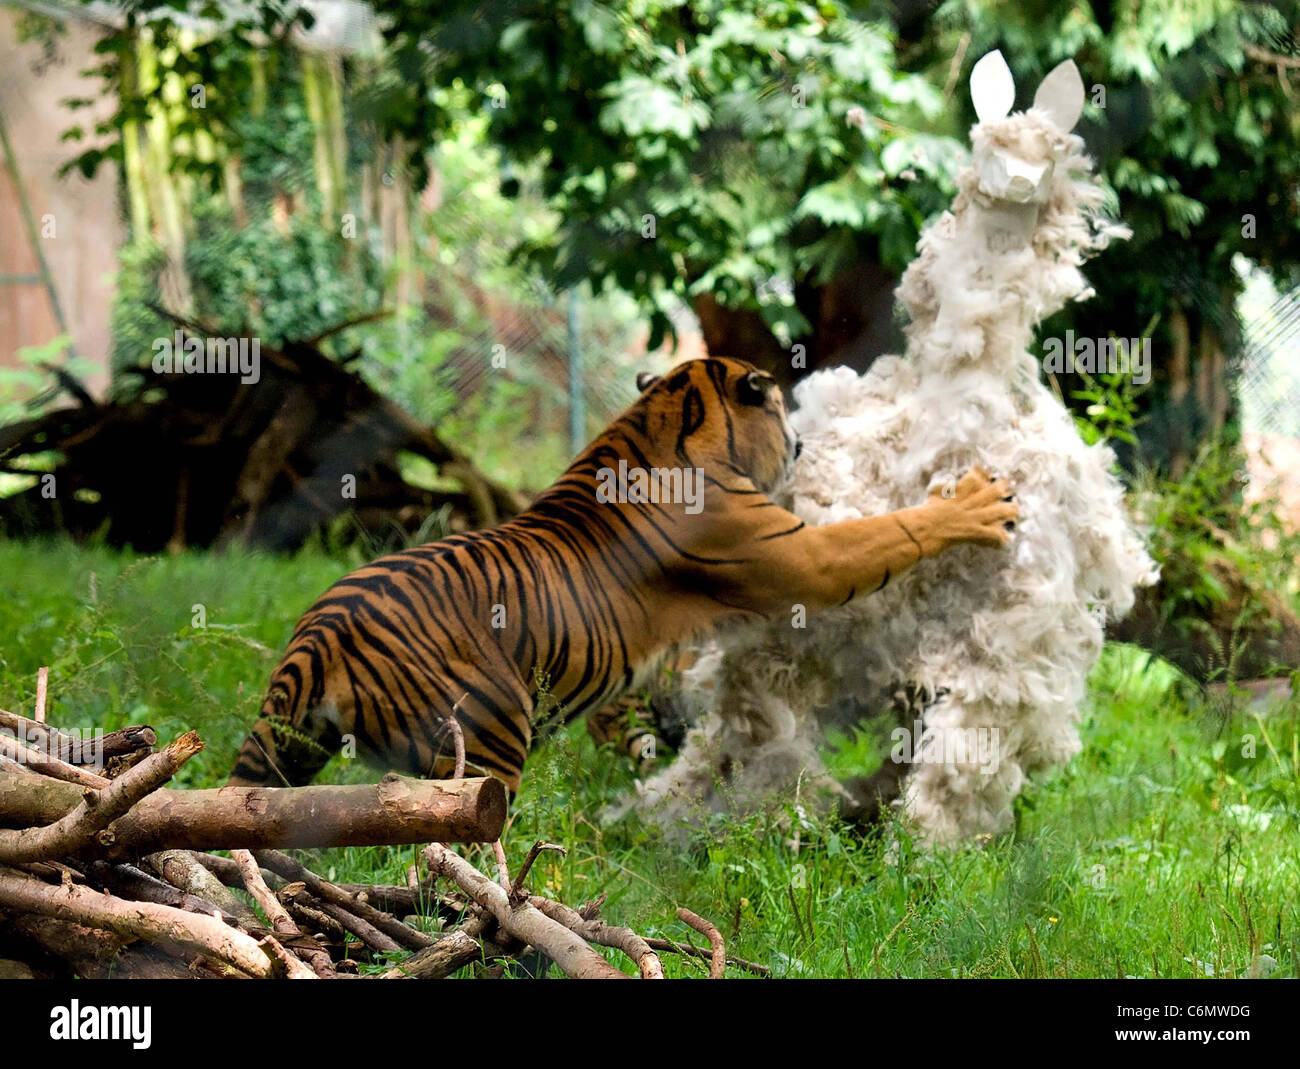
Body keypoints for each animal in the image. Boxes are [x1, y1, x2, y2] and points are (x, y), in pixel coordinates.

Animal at [228, 358, 1019, 795]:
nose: (801, 439)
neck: (665, 414)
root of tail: (323, 633)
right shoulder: (803, 557)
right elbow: (891, 530)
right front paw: (978, 503)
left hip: (288, 752)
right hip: (486, 740)